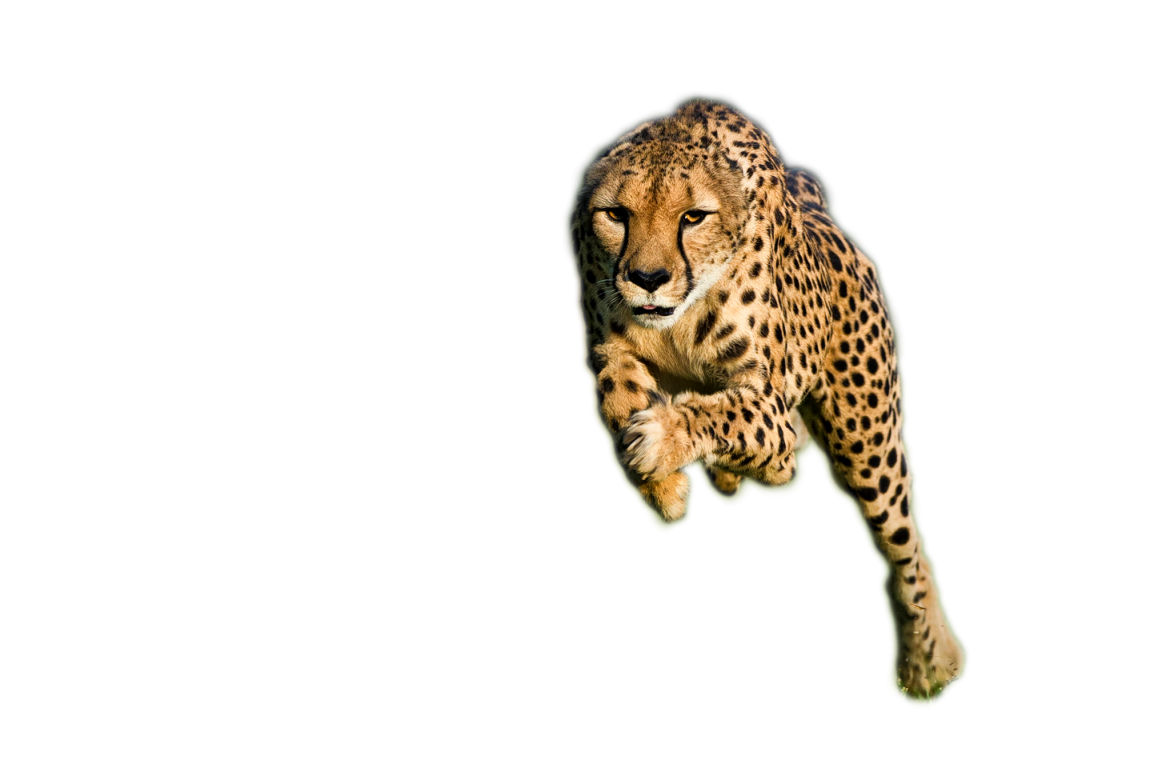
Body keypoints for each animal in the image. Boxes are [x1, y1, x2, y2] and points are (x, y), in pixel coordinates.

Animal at [568, 100, 965, 703]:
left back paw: (926, 667)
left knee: (904, 547)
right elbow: (619, 393)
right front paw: (666, 486)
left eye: (693, 217)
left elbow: (731, 413)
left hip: (867, 444)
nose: (648, 278)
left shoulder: (767, 402)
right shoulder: (606, 345)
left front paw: (662, 439)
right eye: (616, 214)